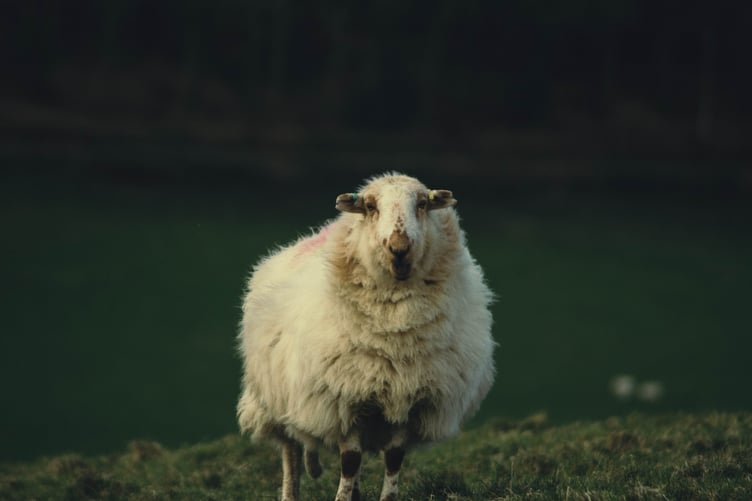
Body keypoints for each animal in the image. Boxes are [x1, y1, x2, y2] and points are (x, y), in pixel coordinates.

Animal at [237, 173, 495, 501]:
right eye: (371, 207)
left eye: (422, 204)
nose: (399, 247)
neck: (395, 333)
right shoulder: (343, 401)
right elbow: (350, 460)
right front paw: (341, 497)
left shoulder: (408, 402)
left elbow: (393, 458)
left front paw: (386, 497)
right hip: (277, 399)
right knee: (290, 452)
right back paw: (290, 492)